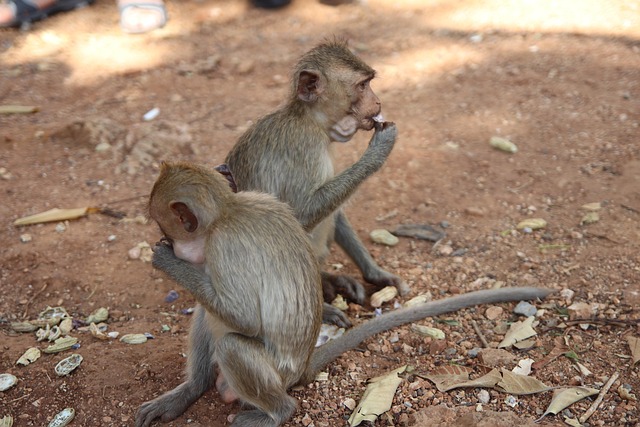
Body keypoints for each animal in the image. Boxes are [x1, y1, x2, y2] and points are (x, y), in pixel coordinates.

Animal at [136, 161, 554, 427]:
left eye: (167, 229)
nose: (167, 243)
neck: (226, 210)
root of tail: (303, 368)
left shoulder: (225, 249)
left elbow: (245, 318)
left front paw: (165, 260)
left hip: (278, 375)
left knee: (232, 344)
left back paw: (278, 412)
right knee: (207, 316)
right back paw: (191, 391)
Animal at [224, 40, 407, 323]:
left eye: (369, 83)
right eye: (362, 86)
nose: (378, 101)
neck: (311, 121)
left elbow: (335, 211)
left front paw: (376, 274)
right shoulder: (303, 148)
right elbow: (300, 215)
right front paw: (379, 149)